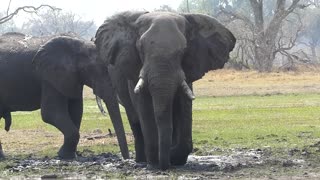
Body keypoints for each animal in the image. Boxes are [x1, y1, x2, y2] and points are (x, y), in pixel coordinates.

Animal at [0, 32, 130, 159]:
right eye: (95, 70)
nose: (126, 158)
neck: (79, 44)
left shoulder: (72, 78)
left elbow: (76, 112)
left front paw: (69, 155)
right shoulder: (49, 77)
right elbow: (51, 113)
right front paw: (64, 156)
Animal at [94, 11, 235, 170]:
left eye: (184, 50)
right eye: (140, 48)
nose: (164, 165)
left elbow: (184, 105)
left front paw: (174, 157)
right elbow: (145, 107)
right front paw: (154, 163)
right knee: (135, 120)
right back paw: (141, 160)